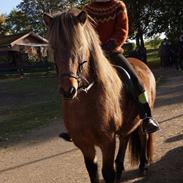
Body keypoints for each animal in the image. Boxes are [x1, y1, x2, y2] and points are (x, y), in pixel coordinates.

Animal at [43, 8, 156, 183]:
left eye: (80, 46)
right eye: (54, 48)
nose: (68, 90)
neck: (85, 100)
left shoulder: (107, 141)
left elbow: (107, 172)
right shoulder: (84, 144)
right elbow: (93, 171)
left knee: (143, 137)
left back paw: (143, 165)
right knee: (125, 139)